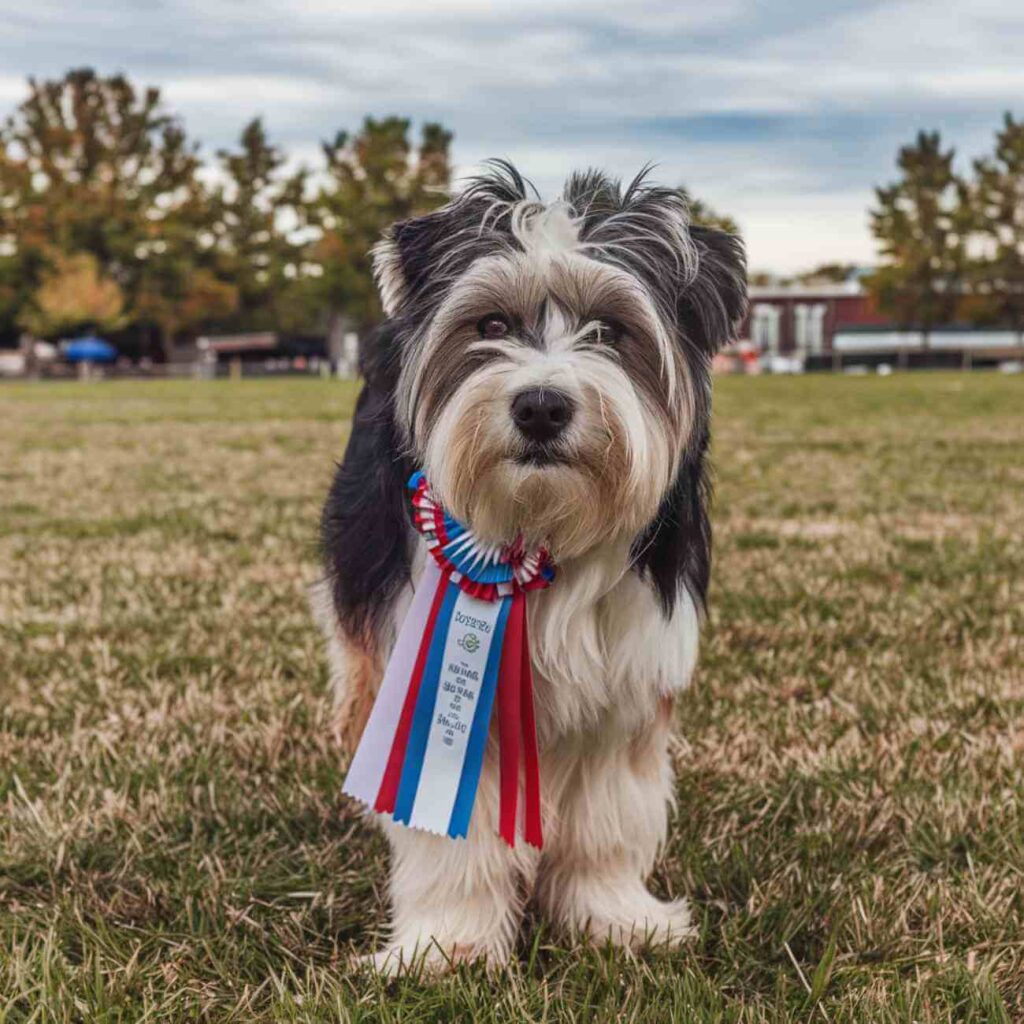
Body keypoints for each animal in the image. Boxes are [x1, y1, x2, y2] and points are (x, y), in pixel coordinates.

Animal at [309, 163, 745, 970]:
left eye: (610, 331)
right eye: (490, 327)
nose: (541, 406)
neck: (541, 528)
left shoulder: (629, 674)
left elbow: (604, 817)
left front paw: (612, 917)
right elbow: (447, 829)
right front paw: (446, 942)